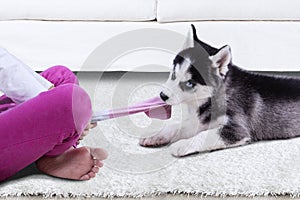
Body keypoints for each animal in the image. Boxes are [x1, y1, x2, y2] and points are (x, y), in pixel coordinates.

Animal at [139, 24, 300, 156]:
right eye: (173, 74)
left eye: (190, 83)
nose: (162, 95)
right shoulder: (200, 121)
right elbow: (177, 125)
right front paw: (155, 135)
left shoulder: (237, 130)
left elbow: (204, 136)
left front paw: (182, 144)